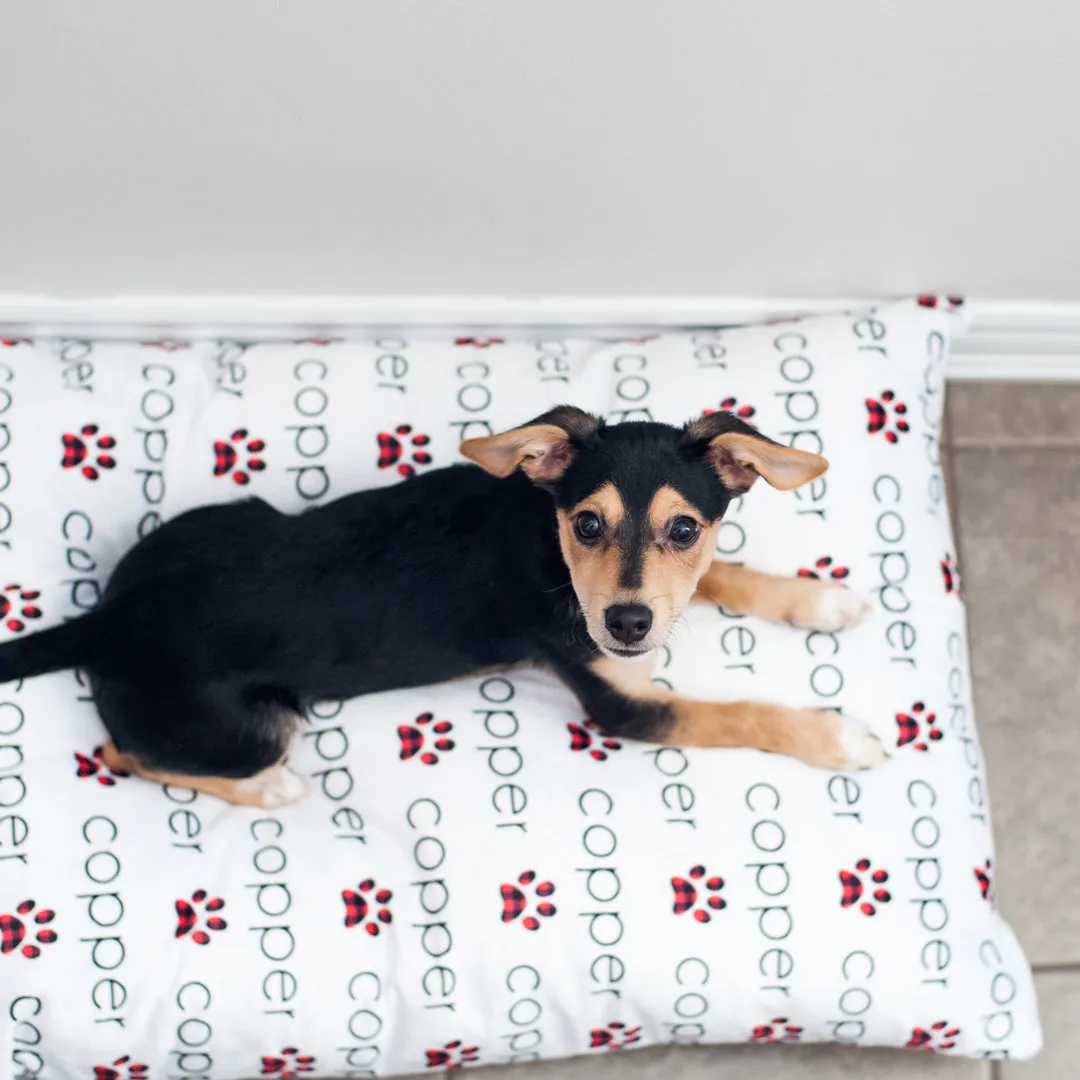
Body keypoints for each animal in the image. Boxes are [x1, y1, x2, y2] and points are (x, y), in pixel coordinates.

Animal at [0, 406, 881, 803]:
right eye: (587, 523)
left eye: (685, 528)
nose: (626, 624)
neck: (549, 544)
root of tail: (106, 620)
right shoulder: (622, 704)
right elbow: (737, 711)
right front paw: (837, 736)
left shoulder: (670, 592)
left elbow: (719, 575)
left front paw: (816, 600)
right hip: (245, 728)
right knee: (125, 753)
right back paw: (268, 791)